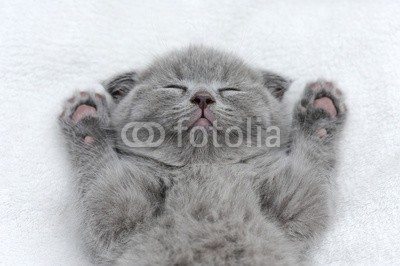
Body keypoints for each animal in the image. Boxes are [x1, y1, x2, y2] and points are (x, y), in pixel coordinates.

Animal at [57, 45, 346, 264]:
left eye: (230, 89)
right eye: (174, 87)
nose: (203, 97)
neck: (204, 166)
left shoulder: (296, 204)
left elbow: (312, 172)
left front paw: (320, 110)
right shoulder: (116, 216)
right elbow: (100, 182)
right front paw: (87, 118)